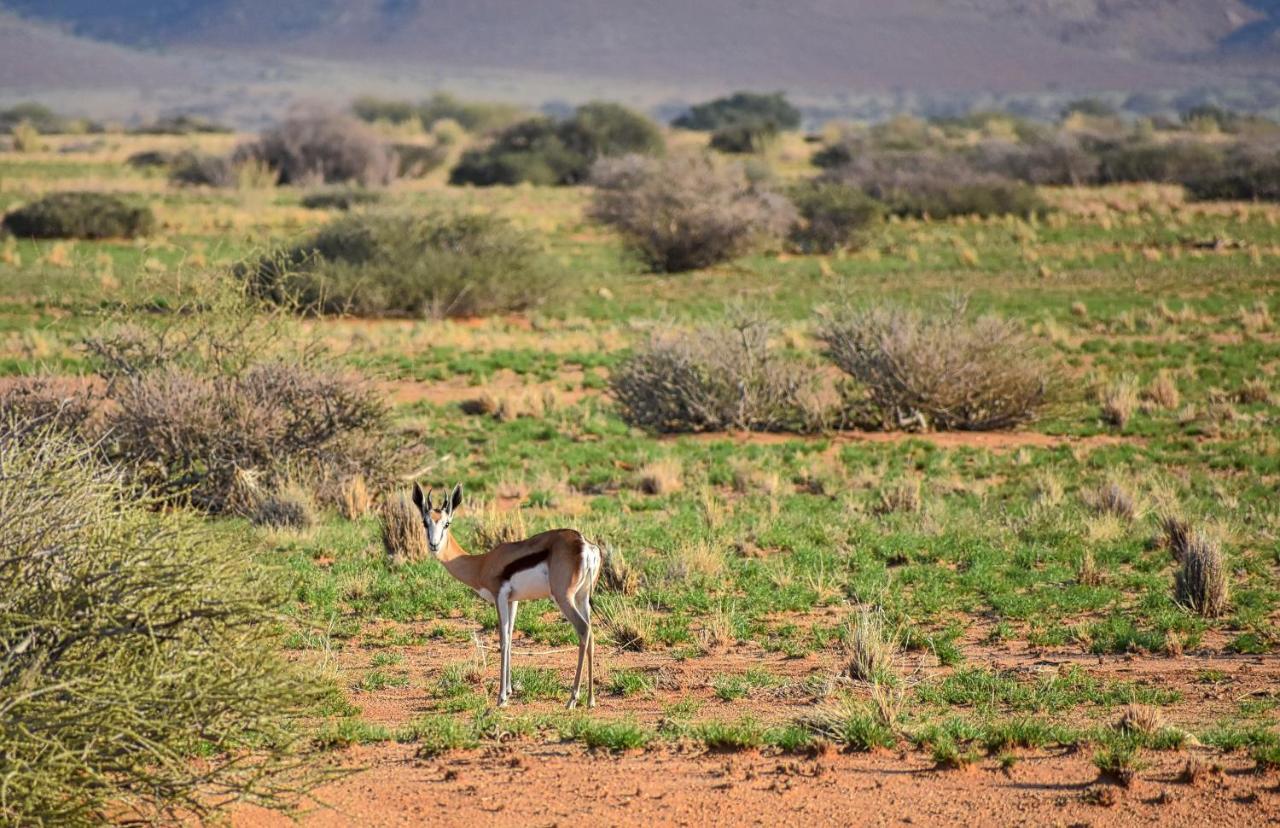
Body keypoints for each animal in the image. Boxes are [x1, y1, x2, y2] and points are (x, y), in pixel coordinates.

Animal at [414, 483, 604, 711]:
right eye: (425, 522)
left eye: (446, 523)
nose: (434, 545)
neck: (482, 563)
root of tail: (584, 544)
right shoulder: (514, 600)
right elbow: (511, 638)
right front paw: (510, 691)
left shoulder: (500, 597)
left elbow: (503, 641)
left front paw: (501, 698)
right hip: (582, 598)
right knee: (591, 632)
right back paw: (591, 700)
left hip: (564, 597)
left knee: (583, 629)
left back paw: (572, 699)